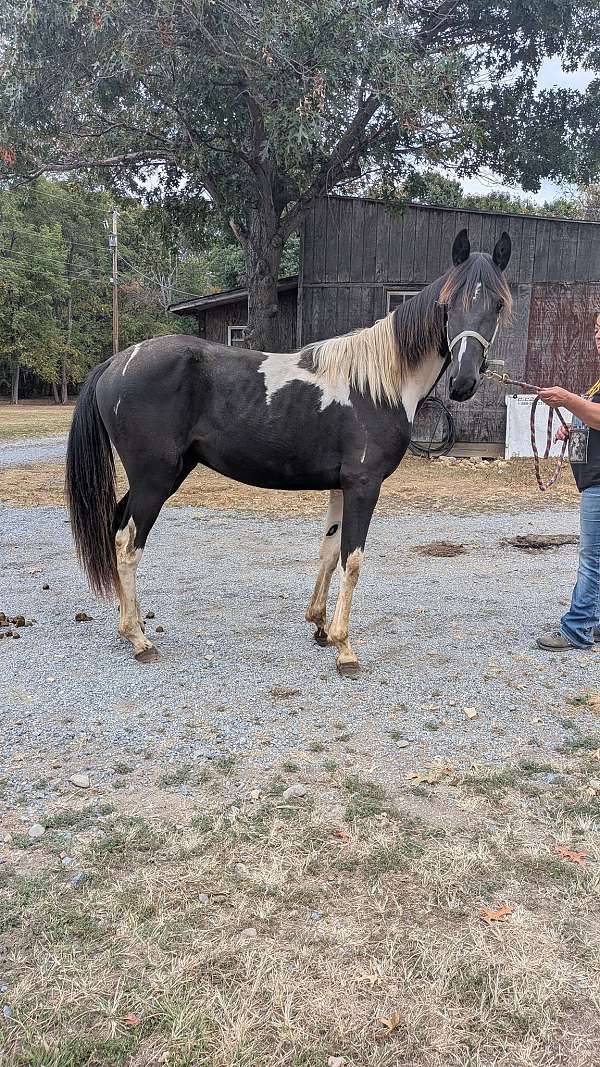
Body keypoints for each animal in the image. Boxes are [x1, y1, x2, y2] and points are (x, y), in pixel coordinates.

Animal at [65, 228, 512, 677]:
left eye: (497, 304)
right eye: (449, 304)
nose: (463, 382)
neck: (376, 384)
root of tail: (116, 363)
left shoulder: (341, 486)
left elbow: (330, 551)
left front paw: (320, 627)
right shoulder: (364, 484)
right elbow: (352, 560)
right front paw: (345, 648)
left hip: (164, 476)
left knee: (117, 531)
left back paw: (131, 626)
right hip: (154, 479)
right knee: (127, 544)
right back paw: (139, 640)